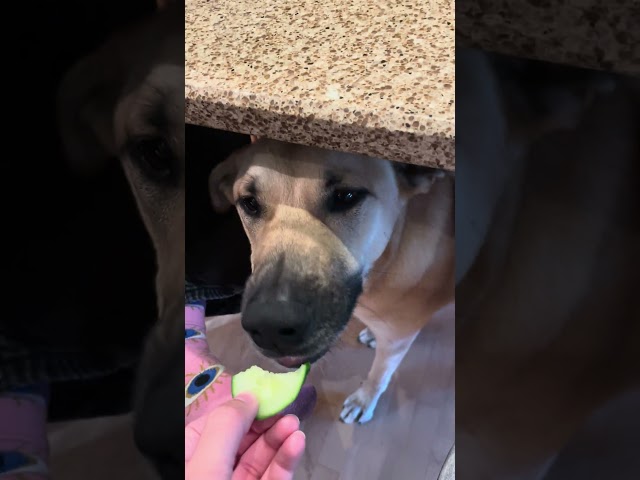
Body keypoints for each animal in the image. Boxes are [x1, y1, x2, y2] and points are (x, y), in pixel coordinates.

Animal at [210, 140, 456, 424]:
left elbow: (379, 374)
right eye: (249, 203)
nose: (269, 327)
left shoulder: (397, 340)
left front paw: (364, 400)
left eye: (346, 196)